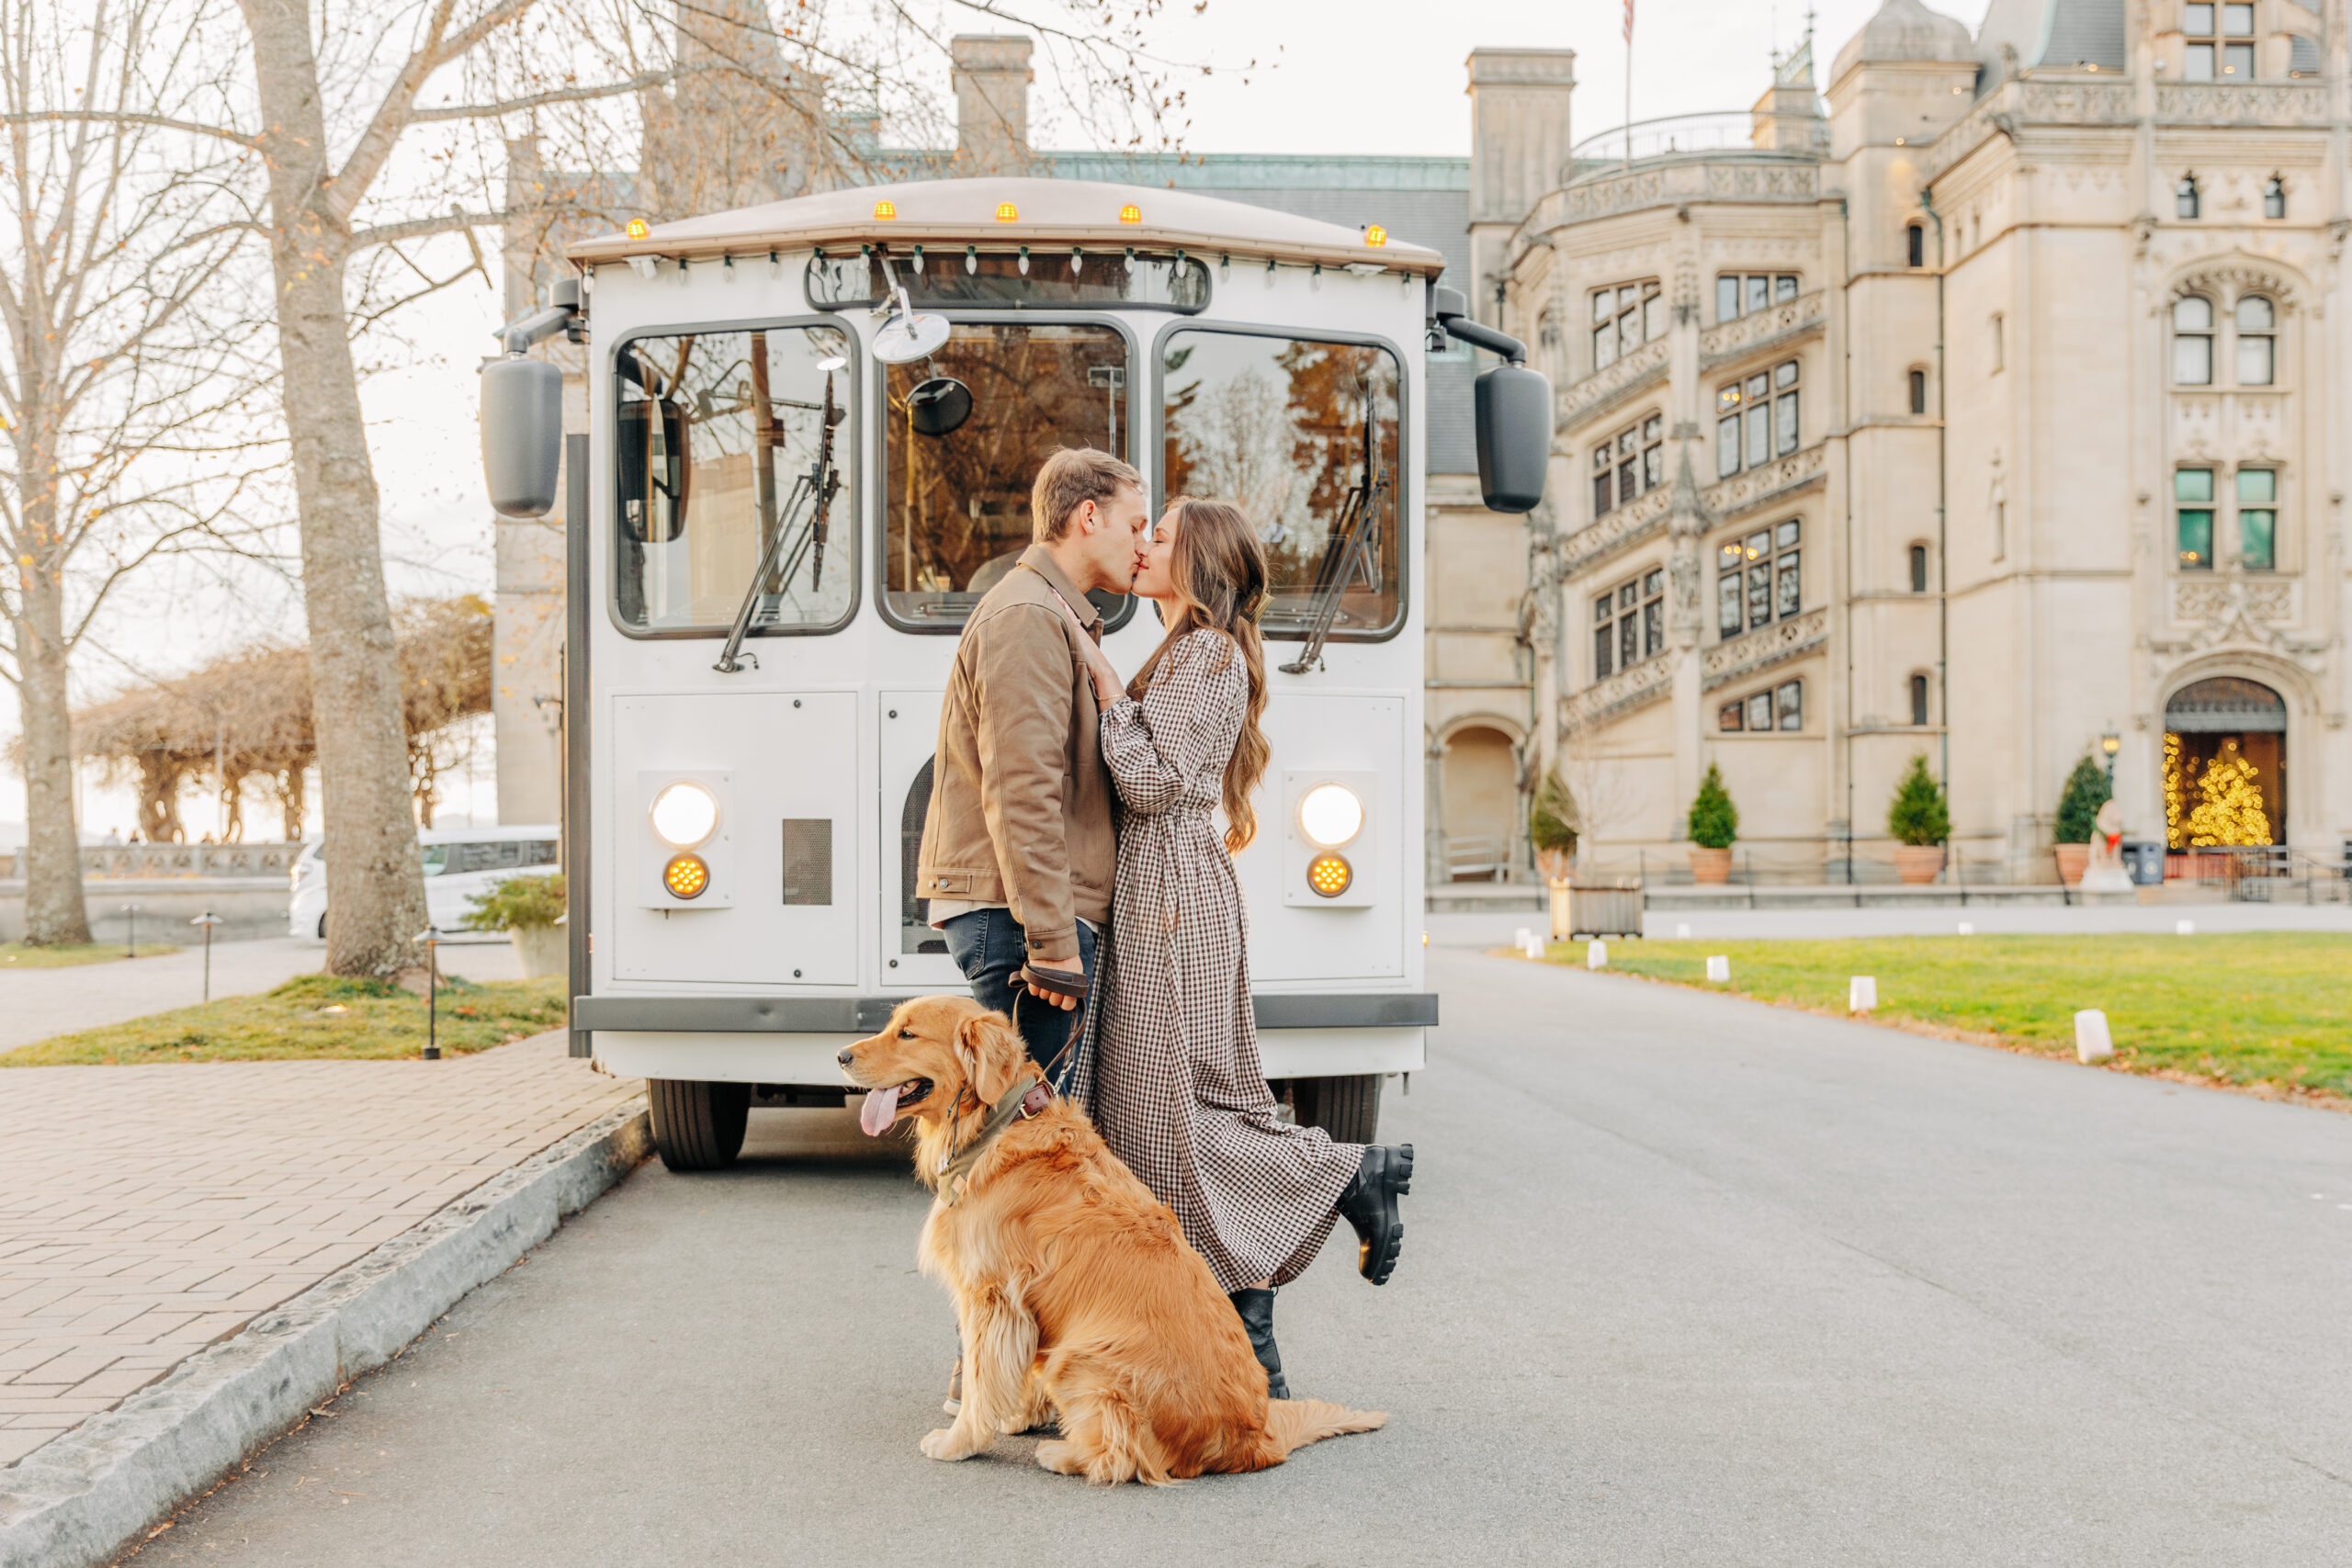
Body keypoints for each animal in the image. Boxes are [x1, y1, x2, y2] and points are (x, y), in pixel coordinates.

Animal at [842, 991, 1374, 1485]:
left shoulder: (992, 1297)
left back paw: (1063, 1453)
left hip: (1080, 1357)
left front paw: (960, 1442)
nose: (841, 1056)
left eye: (908, 1034)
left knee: (1123, 1457)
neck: (997, 1122)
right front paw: (1021, 1416)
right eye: (892, 1025)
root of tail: (1255, 1439)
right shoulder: (1023, 1310)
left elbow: (980, 1379)